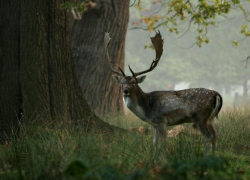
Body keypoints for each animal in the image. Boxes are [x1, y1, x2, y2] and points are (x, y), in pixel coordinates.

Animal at [103, 31, 223, 160]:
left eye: (134, 83)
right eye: (122, 83)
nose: (125, 90)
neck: (146, 107)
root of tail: (217, 94)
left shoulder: (162, 120)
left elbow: (164, 142)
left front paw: (165, 160)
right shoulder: (153, 124)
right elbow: (155, 142)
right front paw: (154, 158)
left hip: (200, 117)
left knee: (208, 136)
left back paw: (206, 158)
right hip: (210, 118)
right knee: (215, 135)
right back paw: (213, 157)